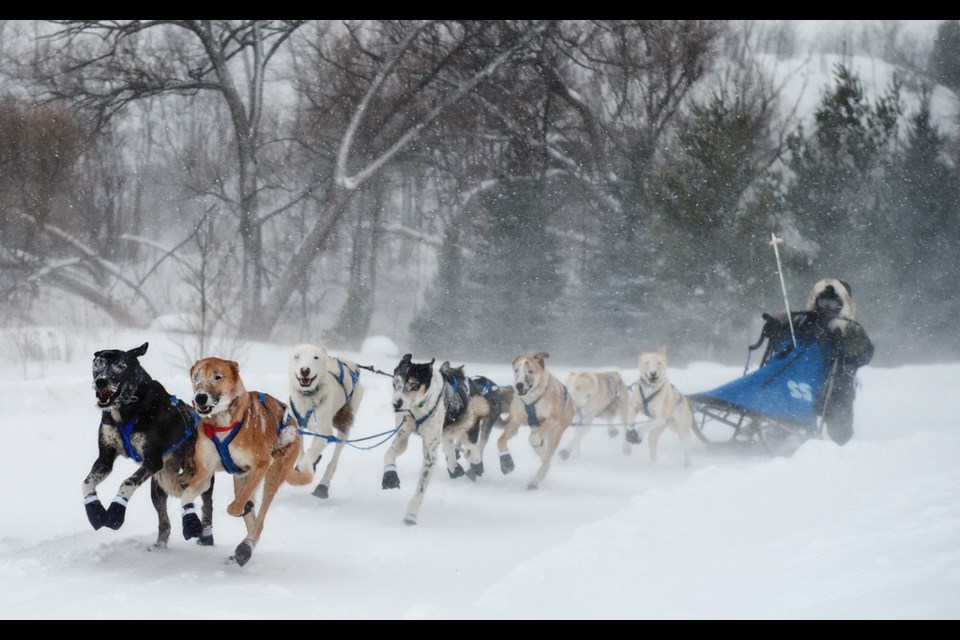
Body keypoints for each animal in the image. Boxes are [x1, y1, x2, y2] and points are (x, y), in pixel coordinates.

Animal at [180, 358, 312, 568]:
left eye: (218, 377)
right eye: (196, 377)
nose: (200, 397)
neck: (223, 423)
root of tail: (293, 423)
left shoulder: (262, 464)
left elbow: (234, 507)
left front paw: (242, 508)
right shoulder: (205, 474)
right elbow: (185, 496)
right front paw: (190, 523)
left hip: (272, 475)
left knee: (260, 521)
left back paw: (246, 546)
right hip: (242, 478)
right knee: (251, 517)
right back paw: (244, 549)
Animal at [288, 344, 364, 500]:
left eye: (315, 357)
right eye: (297, 356)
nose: (305, 370)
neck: (308, 398)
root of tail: (350, 363)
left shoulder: (325, 432)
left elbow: (309, 456)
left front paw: (303, 468)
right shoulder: (296, 427)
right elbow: (301, 452)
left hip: (344, 427)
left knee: (333, 461)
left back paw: (323, 486)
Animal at [380, 356, 492, 524]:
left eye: (414, 384)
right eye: (396, 383)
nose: (396, 404)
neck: (418, 410)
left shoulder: (430, 455)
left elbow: (421, 488)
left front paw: (411, 514)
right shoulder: (403, 435)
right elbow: (389, 454)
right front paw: (390, 476)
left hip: (468, 425)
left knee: (471, 448)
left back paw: (475, 463)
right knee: (448, 445)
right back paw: (454, 466)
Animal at [498, 350, 572, 490]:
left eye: (530, 371)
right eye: (517, 370)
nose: (519, 385)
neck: (531, 398)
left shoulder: (551, 419)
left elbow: (534, 439)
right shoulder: (515, 422)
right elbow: (500, 441)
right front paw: (506, 463)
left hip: (556, 433)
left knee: (546, 458)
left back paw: (535, 480)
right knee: (544, 457)